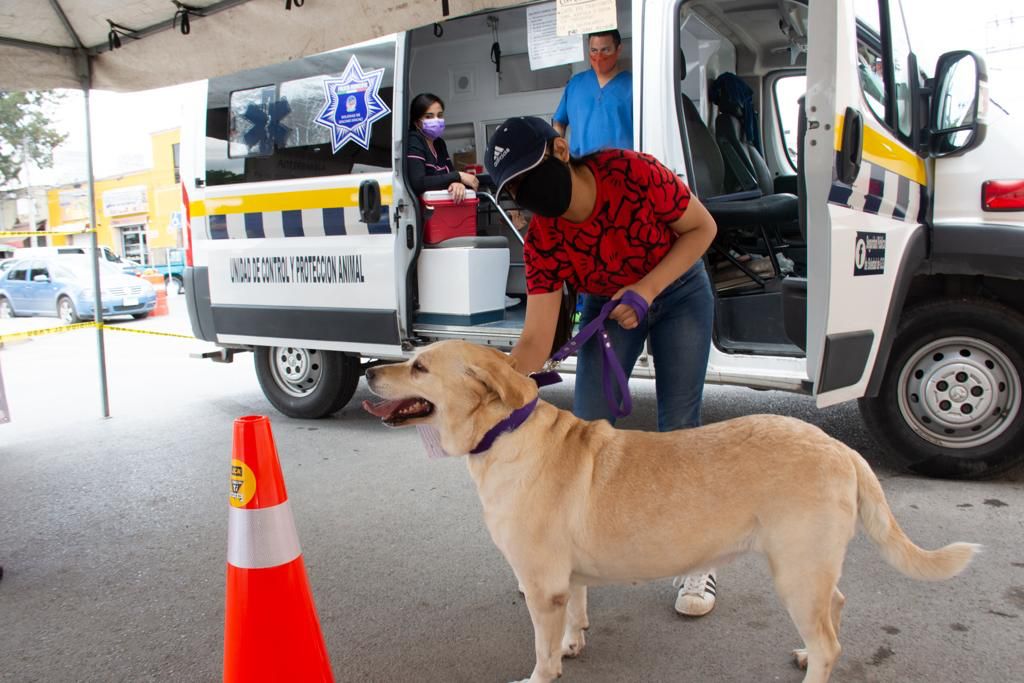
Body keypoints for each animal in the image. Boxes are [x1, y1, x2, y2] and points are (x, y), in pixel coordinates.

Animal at [362, 342, 974, 683]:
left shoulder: (542, 587)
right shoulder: (566, 582)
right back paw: (805, 653)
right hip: (811, 570)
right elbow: (575, 615)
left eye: (418, 366)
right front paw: (573, 644)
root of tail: (840, 448)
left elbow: (540, 650)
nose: (369, 369)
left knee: (831, 644)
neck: (504, 431)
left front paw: (542, 673)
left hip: (796, 572)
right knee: (836, 609)